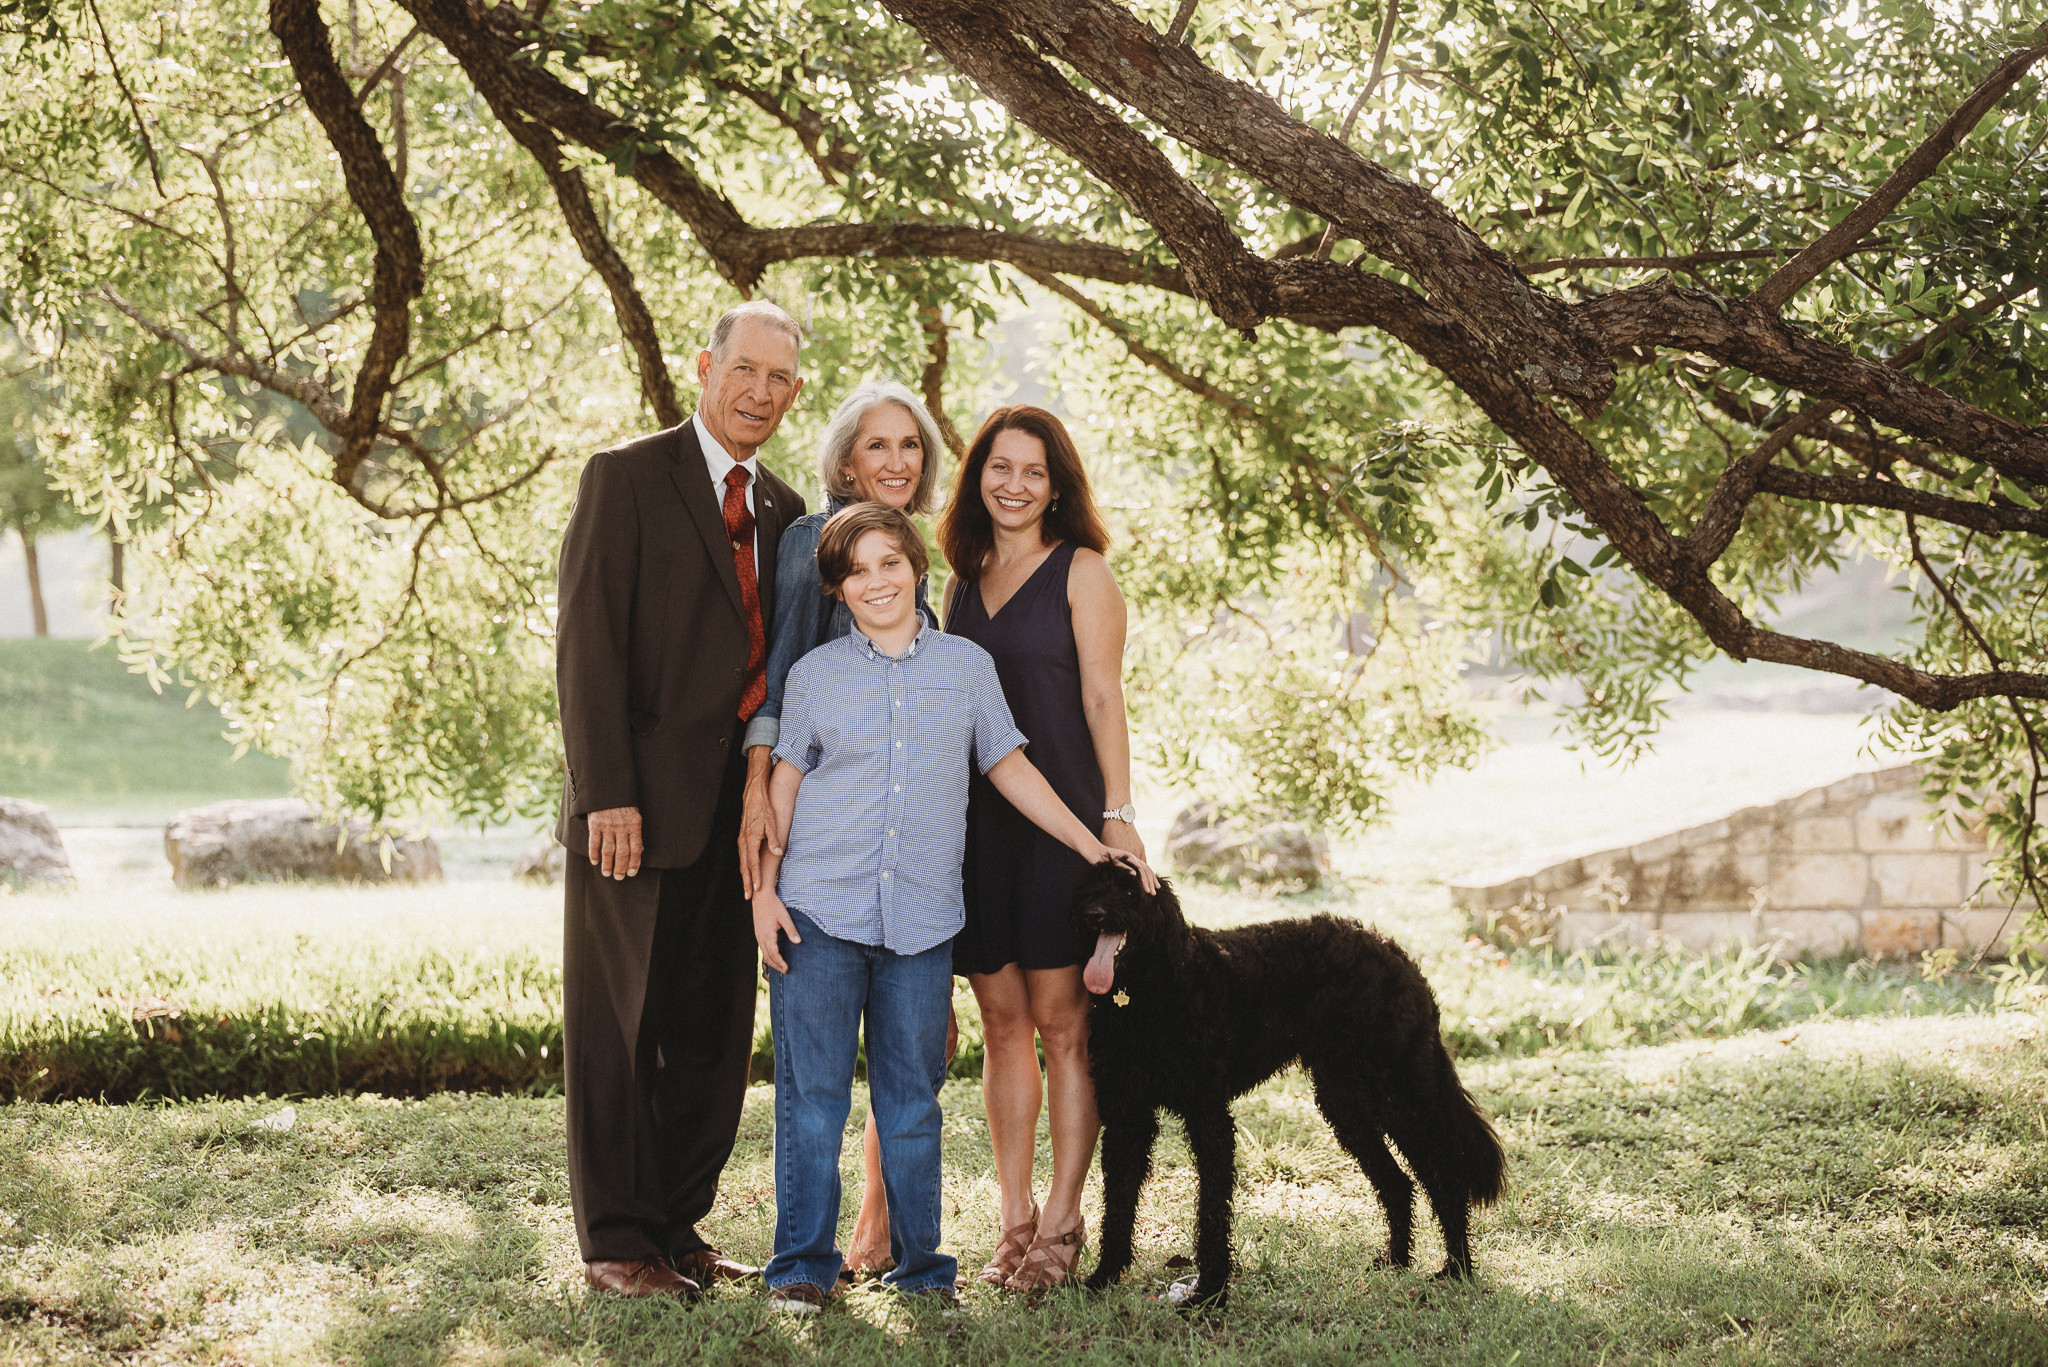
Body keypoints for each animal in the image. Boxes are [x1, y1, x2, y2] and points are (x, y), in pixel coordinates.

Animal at [1073, 860, 1507, 1311]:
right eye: (1090, 887)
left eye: (1129, 892)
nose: (1094, 915)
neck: (1146, 992)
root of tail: (1394, 951)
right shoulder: (1126, 1118)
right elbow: (1118, 1205)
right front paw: (1104, 1277)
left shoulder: (1208, 1116)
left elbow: (1211, 1212)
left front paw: (1210, 1291)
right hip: (1347, 1103)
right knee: (1399, 1184)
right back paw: (1397, 1261)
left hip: (1403, 1095)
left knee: (1446, 1177)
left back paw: (1457, 1268)